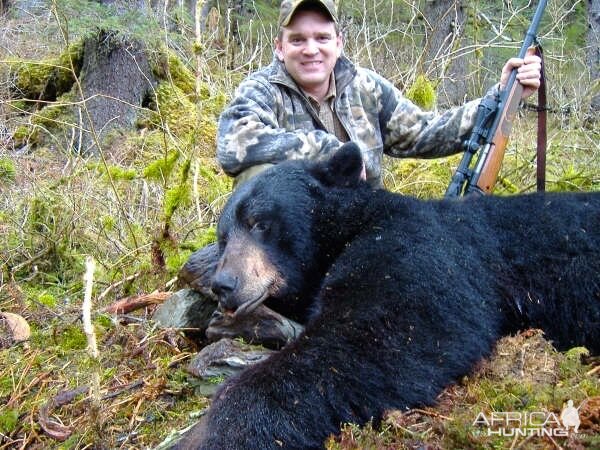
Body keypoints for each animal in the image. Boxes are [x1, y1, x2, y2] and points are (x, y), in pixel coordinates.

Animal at [173, 142, 600, 448]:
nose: (224, 284)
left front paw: (211, 432)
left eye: (260, 223)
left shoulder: (417, 249)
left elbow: (379, 336)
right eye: (223, 237)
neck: (349, 229)